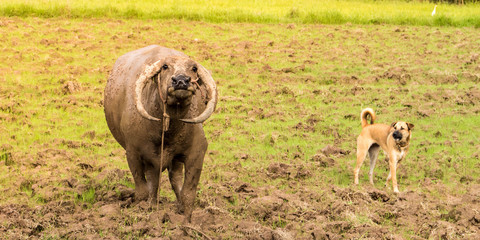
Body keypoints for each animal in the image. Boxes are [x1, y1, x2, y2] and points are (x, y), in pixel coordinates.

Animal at [106, 45, 218, 221]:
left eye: (193, 68)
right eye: (165, 66)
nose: (181, 81)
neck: (168, 131)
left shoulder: (197, 153)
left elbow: (188, 193)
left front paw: (186, 220)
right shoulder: (133, 153)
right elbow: (143, 190)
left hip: (175, 159)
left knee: (174, 177)